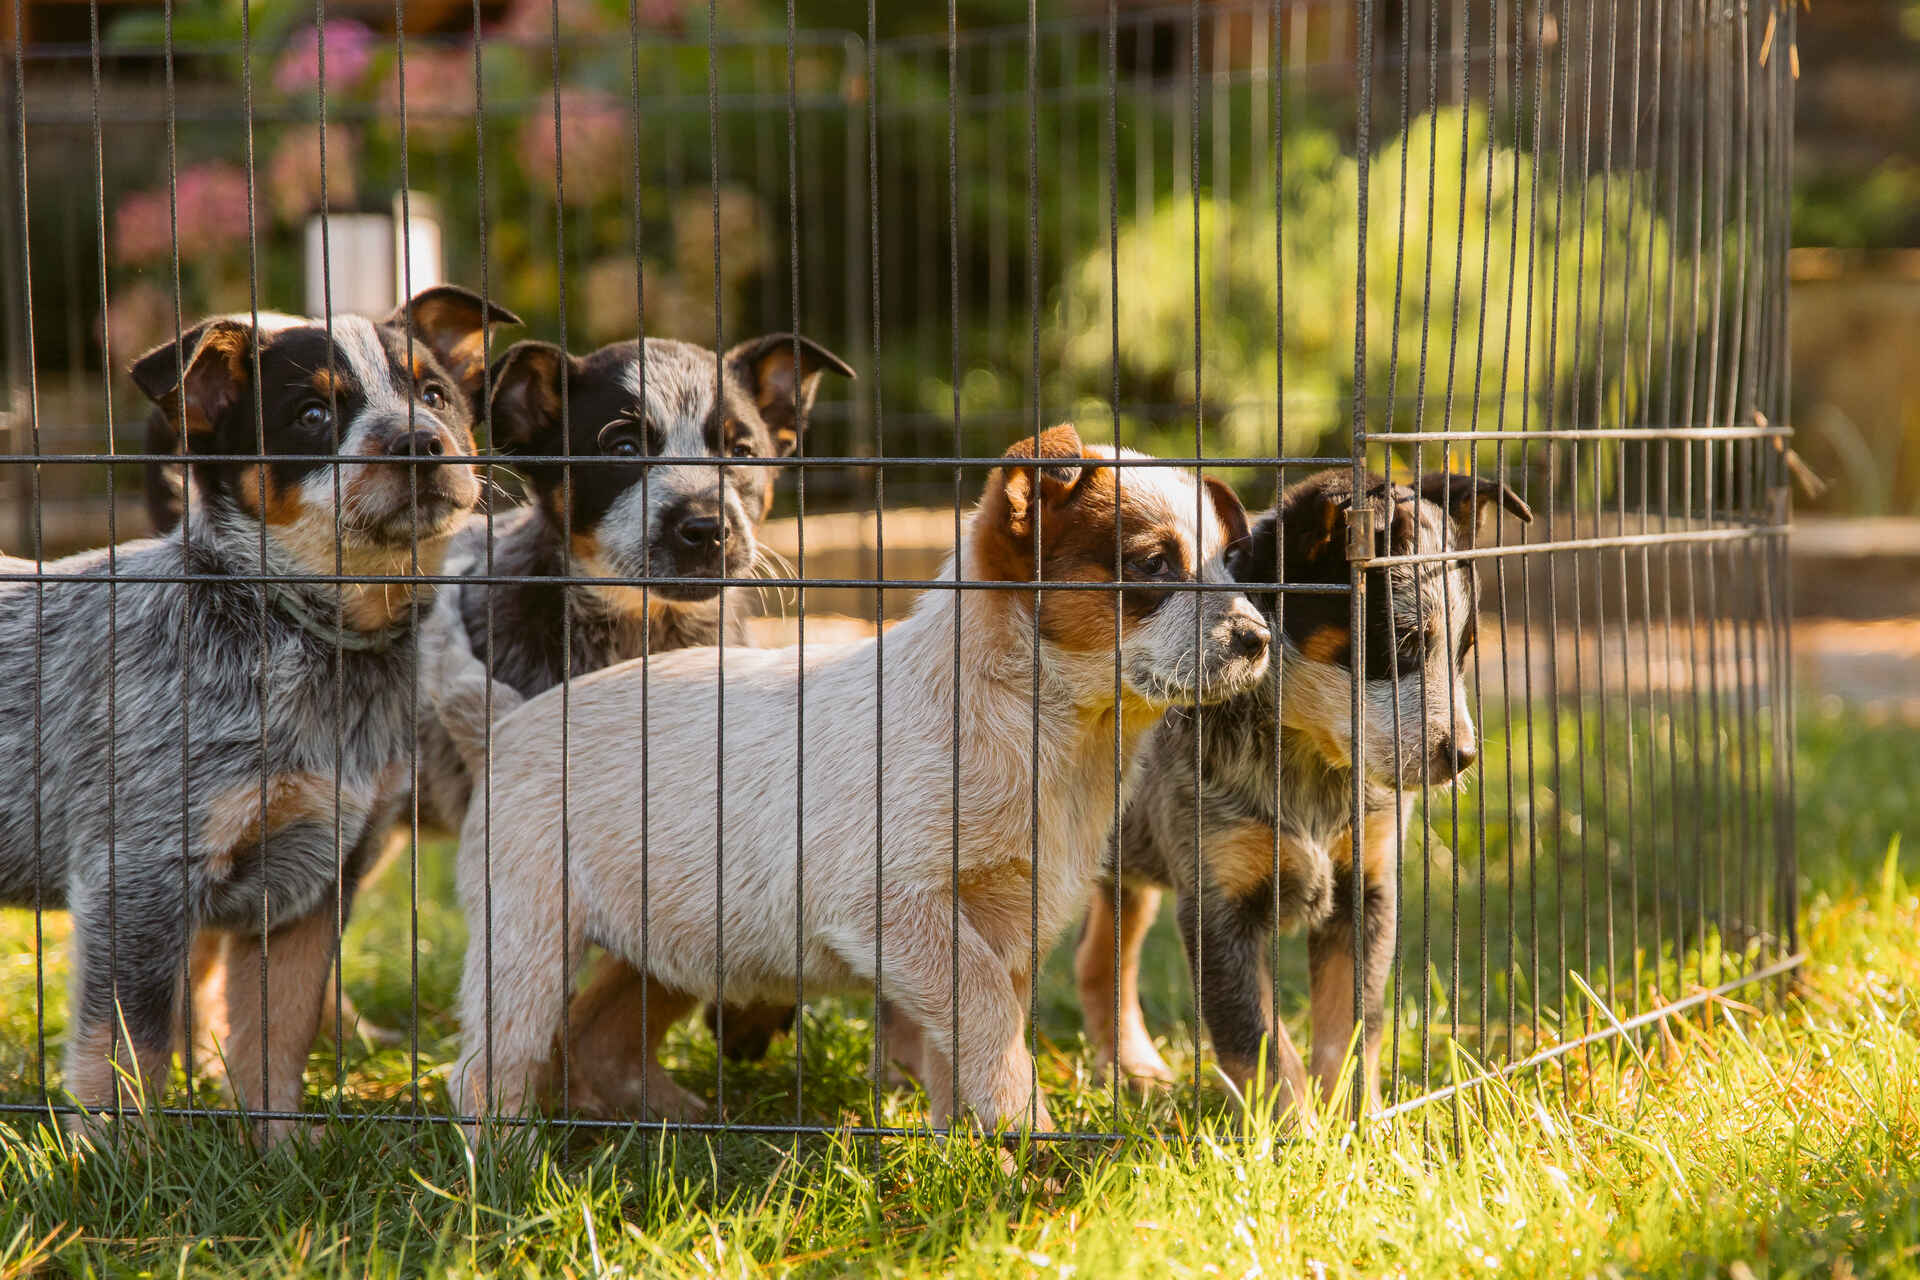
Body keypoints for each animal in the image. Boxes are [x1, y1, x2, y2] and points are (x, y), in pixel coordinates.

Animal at [1090, 468, 1520, 1120]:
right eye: (1401, 644)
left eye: (1466, 651)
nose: (1465, 756)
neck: (1310, 765)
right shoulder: (1218, 904)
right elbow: (1257, 1039)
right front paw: (1294, 1131)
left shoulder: (1366, 890)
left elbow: (1355, 1025)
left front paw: (1355, 1122)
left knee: (1102, 958)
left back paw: (1137, 1071)